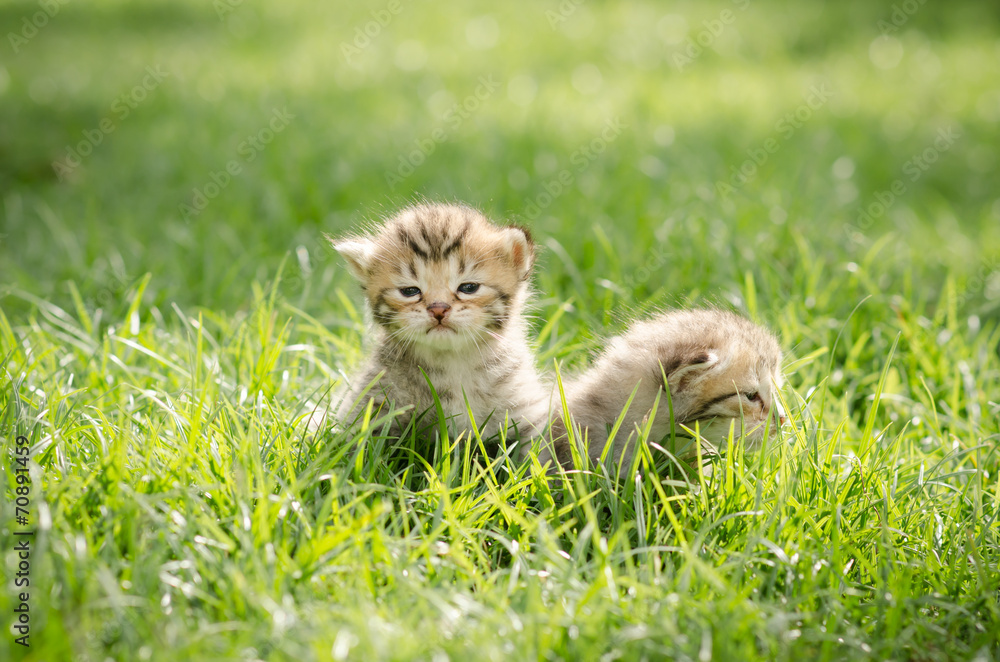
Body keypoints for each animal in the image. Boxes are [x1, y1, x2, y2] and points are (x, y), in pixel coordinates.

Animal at [330, 202, 552, 440]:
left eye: (468, 287)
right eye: (410, 291)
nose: (438, 309)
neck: (452, 364)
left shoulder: (527, 414)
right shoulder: (368, 408)